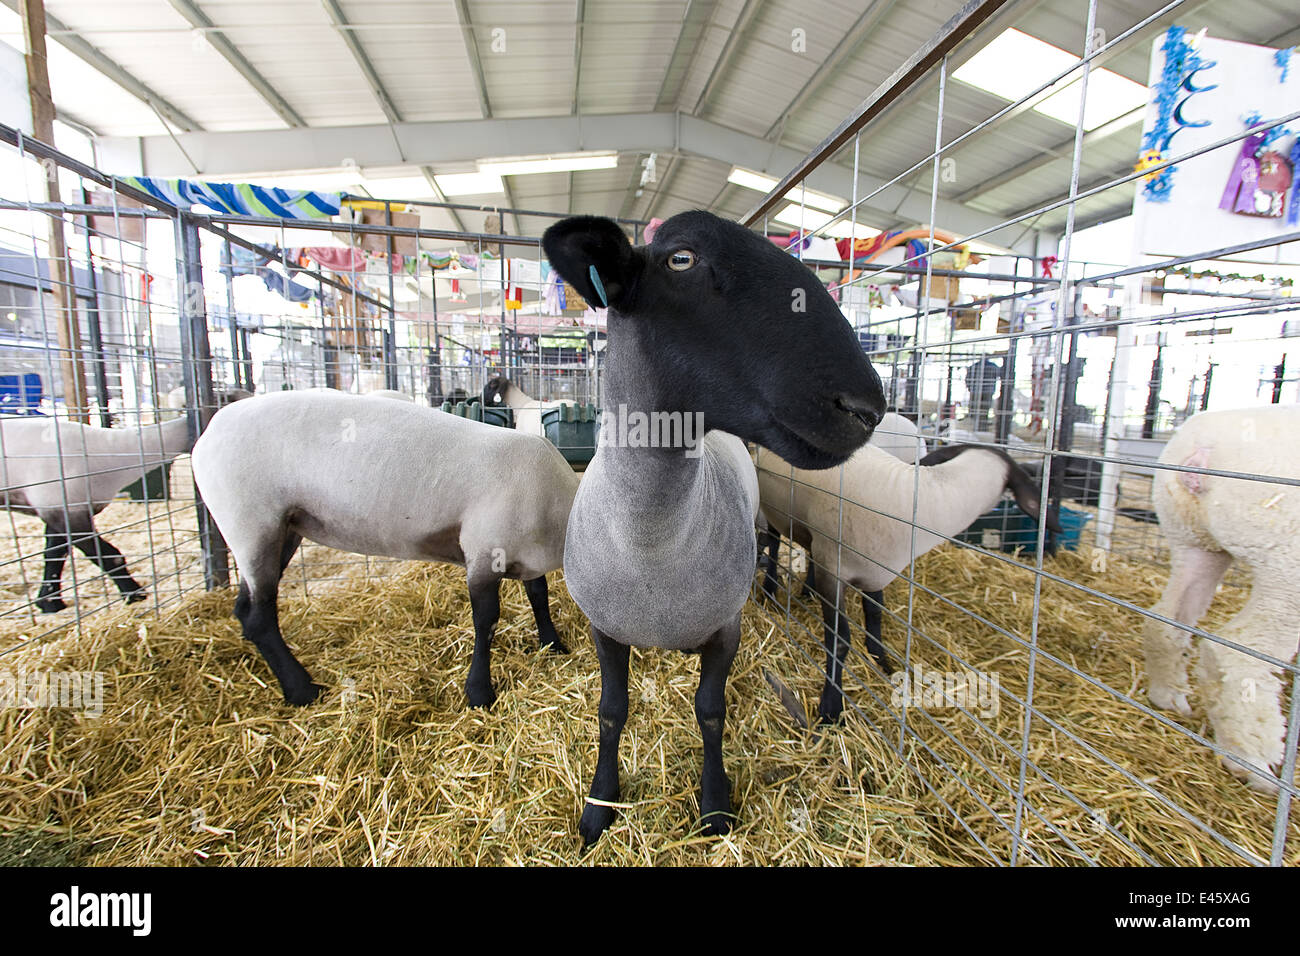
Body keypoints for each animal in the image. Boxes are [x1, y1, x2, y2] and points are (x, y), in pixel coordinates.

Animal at [189, 390, 577, 712]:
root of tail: (209, 430)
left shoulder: (523, 555)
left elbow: (538, 595)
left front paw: (553, 645)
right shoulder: (484, 551)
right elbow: (486, 621)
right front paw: (479, 693)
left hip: (282, 529)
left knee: (245, 609)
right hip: (251, 523)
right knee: (259, 616)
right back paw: (302, 690)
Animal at [759, 444, 1050, 723]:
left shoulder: (874, 571)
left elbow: (874, 615)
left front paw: (881, 661)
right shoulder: (833, 571)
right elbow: (839, 642)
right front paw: (831, 708)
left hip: (814, 536)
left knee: (808, 547)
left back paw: (808, 591)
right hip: (773, 513)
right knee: (773, 544)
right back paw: (769, 590)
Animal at [1144, 403, 1294, 790]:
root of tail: (1202, 452)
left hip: (1193, 540)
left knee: (1165, 621)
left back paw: (1170, 696)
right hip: (1284, 564)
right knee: (1239, 648)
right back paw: (1254, 762)